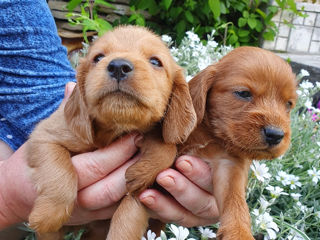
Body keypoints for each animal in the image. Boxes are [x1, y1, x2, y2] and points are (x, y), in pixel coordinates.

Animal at [180, 46, 298, 239]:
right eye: (243, 93)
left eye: (288, 104)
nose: (275, 135)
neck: (213, 136)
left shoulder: (230, 166)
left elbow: (235, 202)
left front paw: (238, 232)